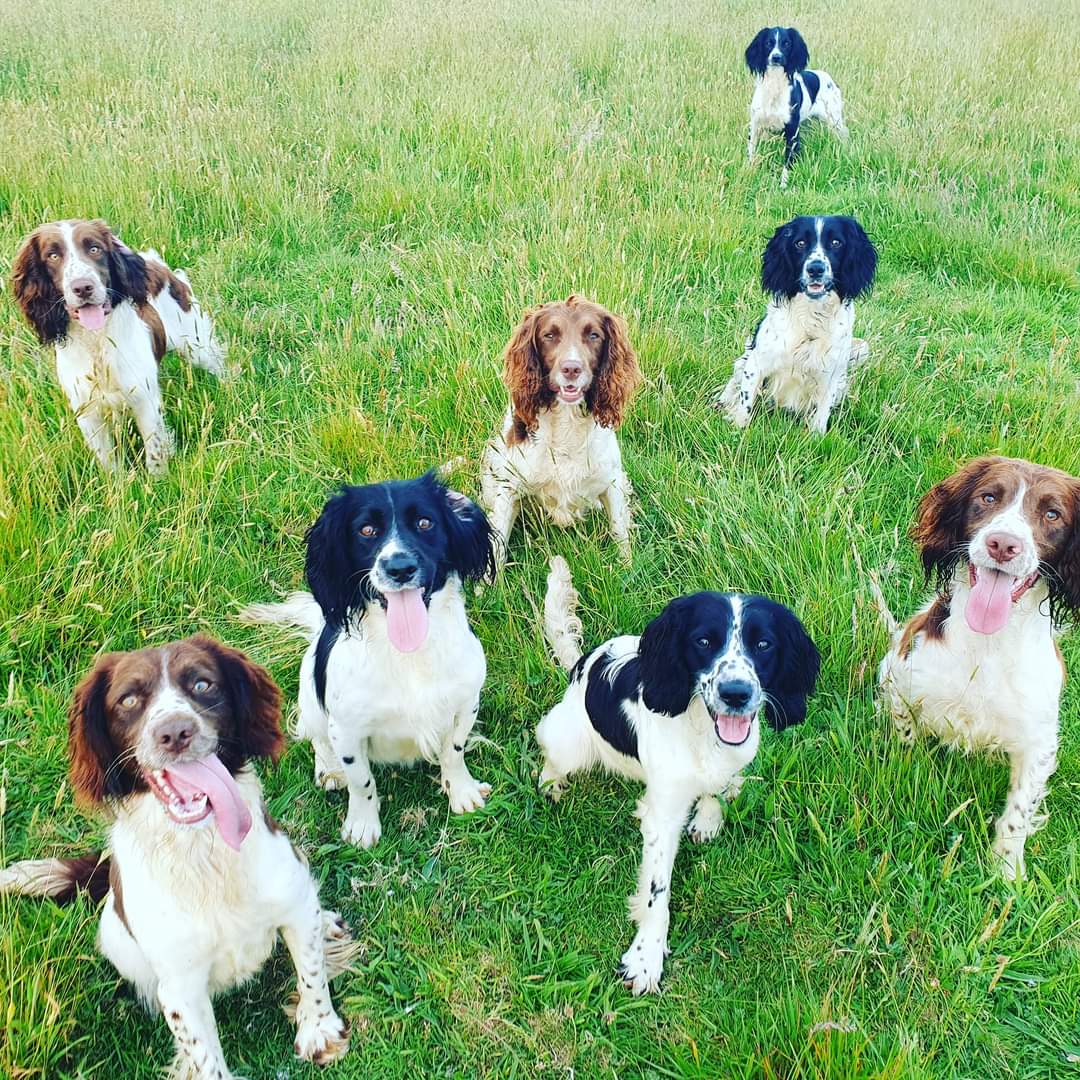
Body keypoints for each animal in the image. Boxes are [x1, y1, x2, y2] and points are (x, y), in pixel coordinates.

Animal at [0, 635, 356, 1075]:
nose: (174, 732)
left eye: (202, 684)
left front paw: (319, 1030)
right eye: (128, 700)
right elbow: (203, 1053)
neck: (204, 851)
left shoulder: (293, 901)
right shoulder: (180, 987)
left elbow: (311, 972)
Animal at [240, 470, 494, 842]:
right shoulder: (346, 729)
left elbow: (454, 752)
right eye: (367, 530)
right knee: (316, 739)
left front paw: (461, 792)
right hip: (311, 700)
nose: (399, 567)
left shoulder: (465, 703)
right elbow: (361, 782)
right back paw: (329, 771)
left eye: (425, 522)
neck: (409, 654)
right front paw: (362, 826)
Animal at [540, 561, 816, 989]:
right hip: (569, 740)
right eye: (703, 641)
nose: (736, 693)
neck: (702, 735)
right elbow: (658, 892)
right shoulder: (663, 816)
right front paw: (646, 958)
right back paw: (551, 782)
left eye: (764, 644)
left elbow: (718, 789)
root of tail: (580, 664)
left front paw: (709, 816)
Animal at [747, 27, 846, 187]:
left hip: (835, 122)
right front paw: (749, 171)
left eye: (786, 43)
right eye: (768, 43)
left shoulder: (792, 131)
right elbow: (751, 152)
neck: (774, 87)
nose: (776, 57)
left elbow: (787, 162)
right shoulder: (755, 126)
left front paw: (783, 186)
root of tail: (829, 79)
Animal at [876, 453, 1080, 876]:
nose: (1003, 544)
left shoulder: (1039, 741)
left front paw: (1006, 873)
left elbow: (1019, 811)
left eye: (1052, 513)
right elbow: (907, 740)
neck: (988, 643)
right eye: (988, 497)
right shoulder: (902, 685)